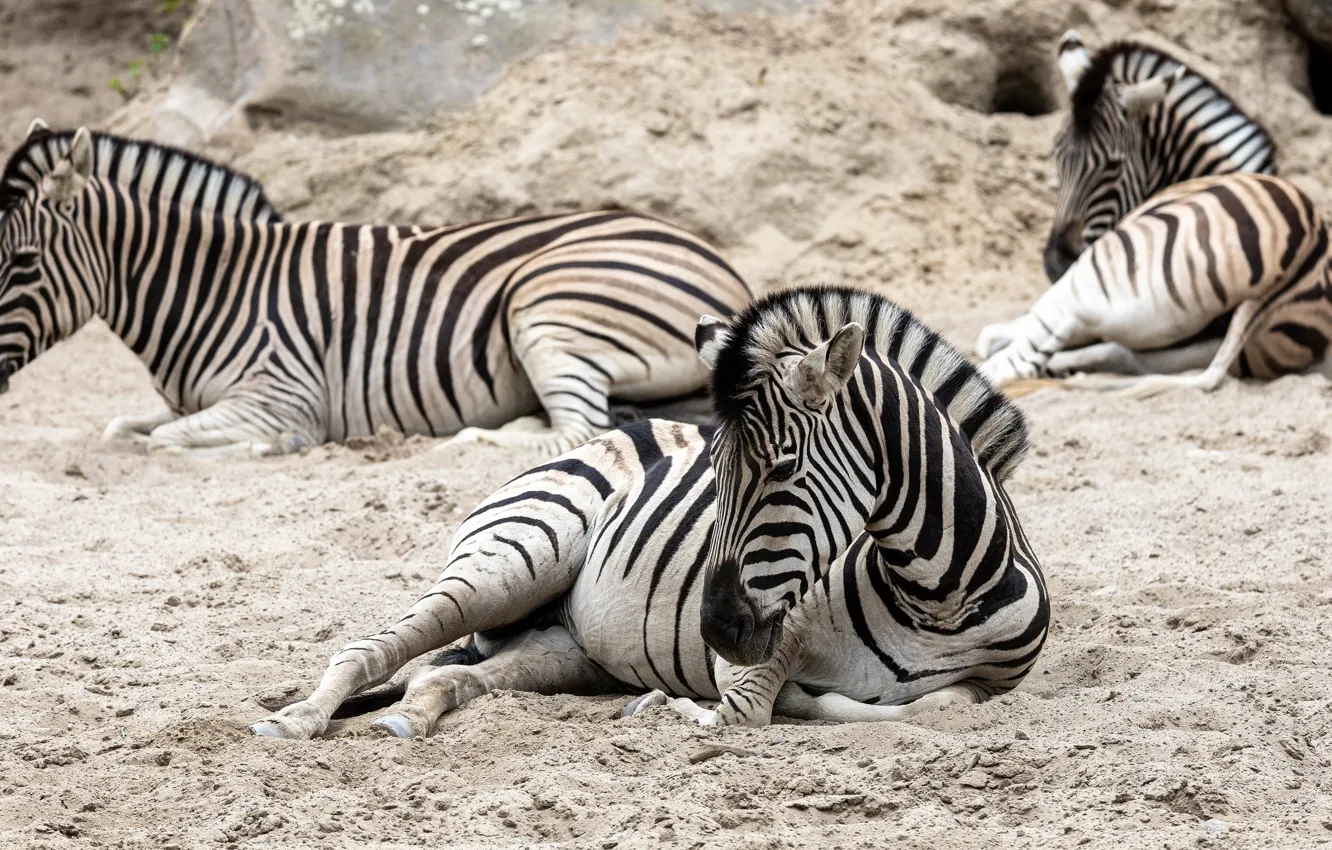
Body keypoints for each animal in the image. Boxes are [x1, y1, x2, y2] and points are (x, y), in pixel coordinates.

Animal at [0, 123, 751, 456]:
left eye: (24, 261)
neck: (213, 289)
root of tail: (719, 261)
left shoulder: (283, 395)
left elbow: (164, 441)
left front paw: (273, 448)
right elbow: (128, 427)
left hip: (545, 303)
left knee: (577, 430)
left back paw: (468, 440)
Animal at [250, 287, 1048, 739]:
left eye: (783, 468)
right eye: (713, 476)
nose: (714, 629)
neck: (935, 600)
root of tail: (615, 431)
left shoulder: (995, 686)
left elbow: (939, 706)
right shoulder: (762, 650)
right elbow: (744, 712)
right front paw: (670, 708)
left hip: (566, 646)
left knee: (442, 680)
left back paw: (407, 720)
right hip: (511, 561)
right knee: (367, 649)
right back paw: (295, 721)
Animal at [977, 173, 1332, 397]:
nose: (1053, 260)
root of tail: (1305, 250)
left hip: (1091, 280)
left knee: (1011, 363)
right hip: (1198, 340)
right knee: (1126, 356)